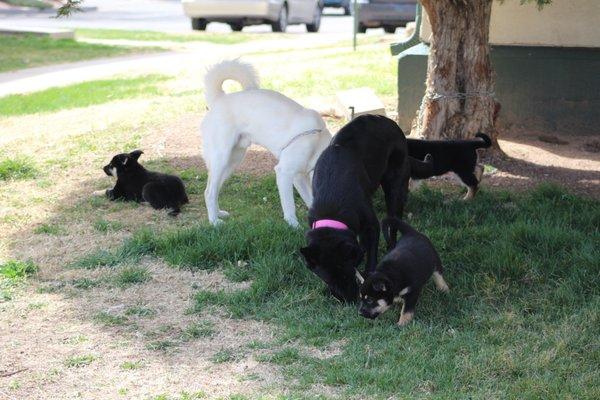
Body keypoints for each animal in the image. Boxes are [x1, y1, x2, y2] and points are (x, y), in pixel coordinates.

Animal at [202, 60, 332, 227]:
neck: (317, 142)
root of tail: (219, 99)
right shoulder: (284, 172)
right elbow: (289, 206)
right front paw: (294, 225)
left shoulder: (298, 177)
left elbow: (310, 200)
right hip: (221, 159)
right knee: (209, 192)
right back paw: (214, 221)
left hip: (232, 162)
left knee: (215, 188)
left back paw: (219, 213)